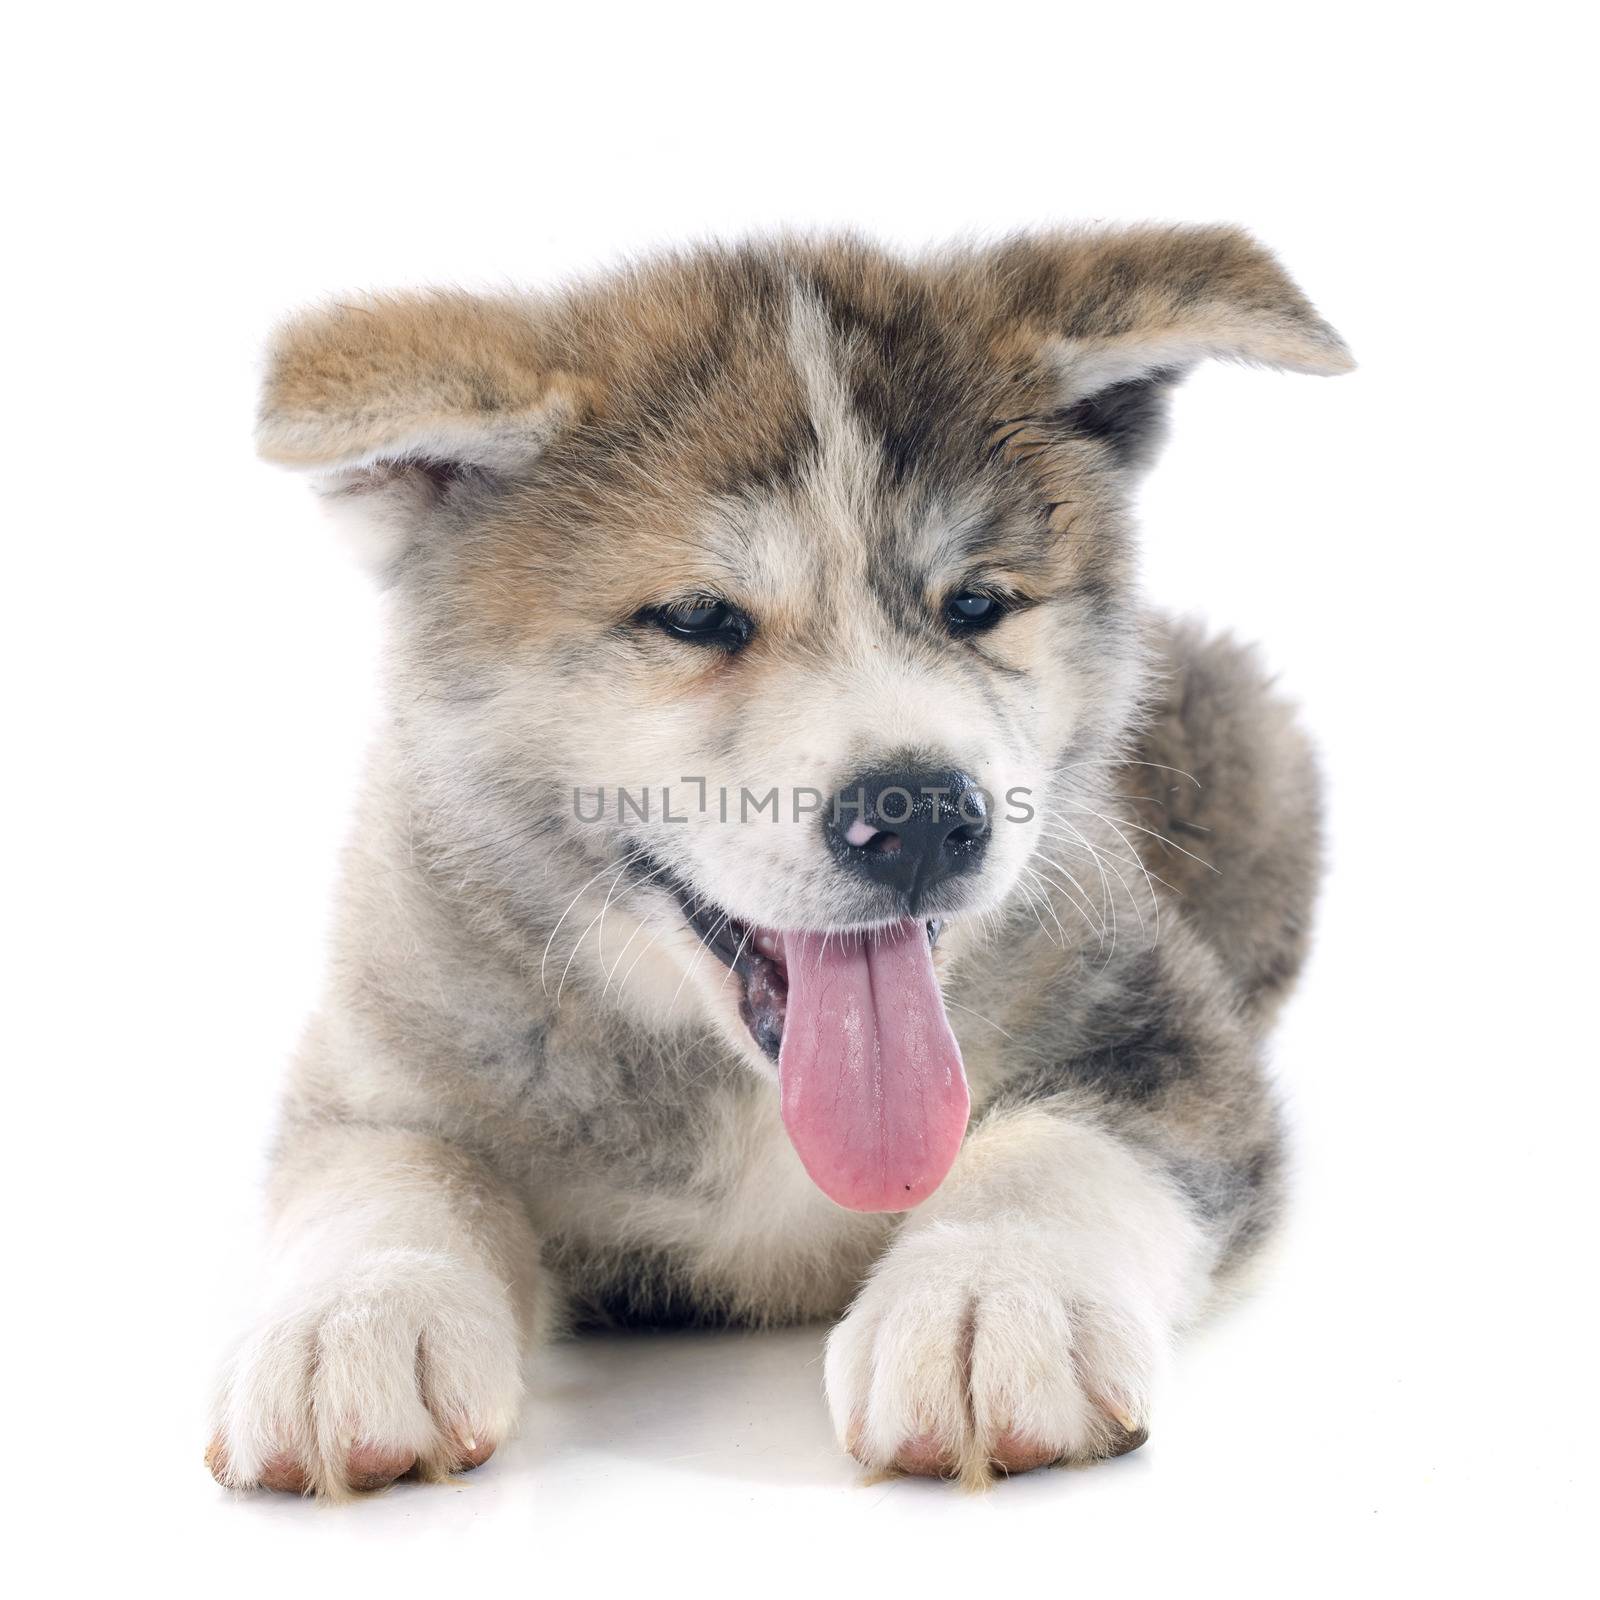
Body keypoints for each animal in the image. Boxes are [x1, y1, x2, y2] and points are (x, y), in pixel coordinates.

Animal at [203, 228, 1350, 1497]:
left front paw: (993, 1296)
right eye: (699, 617)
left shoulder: (1162, 1023)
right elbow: (392, 1162)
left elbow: (1071, 1140)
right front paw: (353, 1318)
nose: (918, 814)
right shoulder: (391, 1023)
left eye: (977, 604)